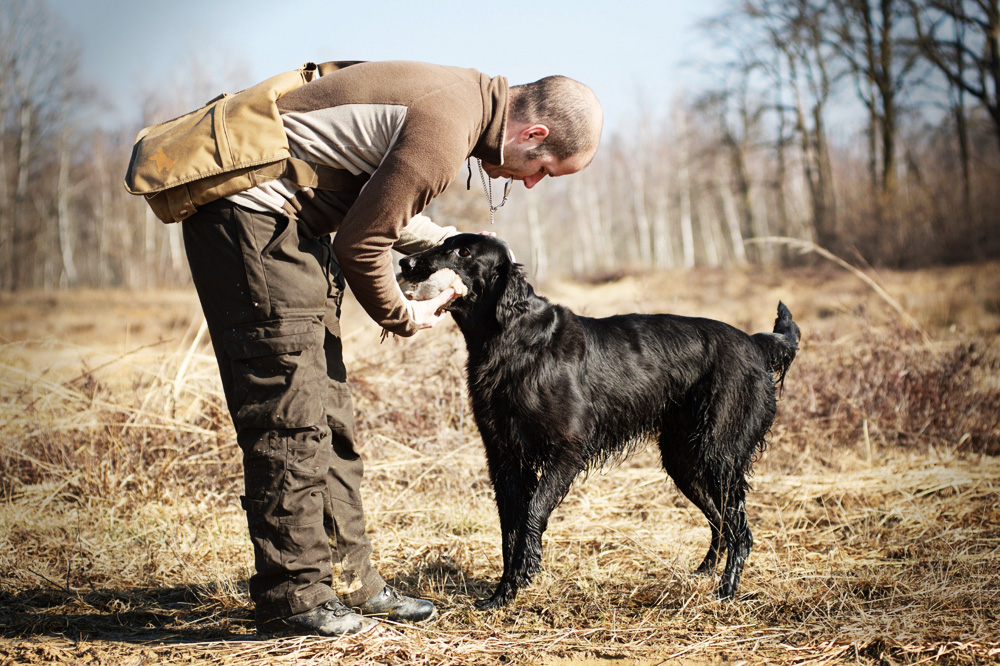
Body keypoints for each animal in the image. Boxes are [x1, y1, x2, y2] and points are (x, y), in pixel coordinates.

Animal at [398, 232, 796, 608]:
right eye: (443, 243)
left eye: (463, 252)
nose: (404, 262)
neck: (513, 338)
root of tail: (754, 343)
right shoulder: (504, 459)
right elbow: (509, 529)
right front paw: (502, 594)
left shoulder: (567, 449)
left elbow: (532, 514)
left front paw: (525, 572)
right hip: (684, 459)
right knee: (720, 521)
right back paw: (704, 573)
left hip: (719, 456)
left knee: (741, 531)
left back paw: (726, 591)